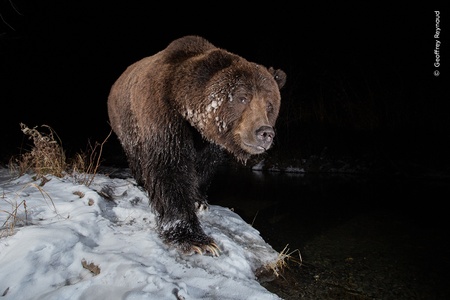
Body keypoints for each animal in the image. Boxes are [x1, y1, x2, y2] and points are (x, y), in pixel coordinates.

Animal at [107, 35, 286, 255]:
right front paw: (196, 239)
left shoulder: (209, 140)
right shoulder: (162, 114)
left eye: (269, 104)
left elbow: (205, 166)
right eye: (243, 97)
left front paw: (199, 200)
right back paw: (141, 181)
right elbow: (169, 167)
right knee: (136, 154)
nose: (265, 133)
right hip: (126, 123)